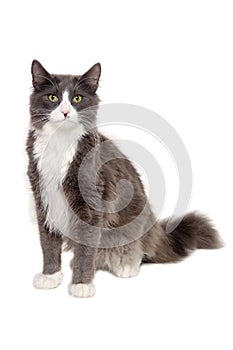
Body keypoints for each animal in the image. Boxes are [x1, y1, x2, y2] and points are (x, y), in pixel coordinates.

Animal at [26, 60, 223, 298]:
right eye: (53, 97)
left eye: (77, 99)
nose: (65, 112)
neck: (61, 143)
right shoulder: (43, 199)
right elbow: (48, 244)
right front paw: (50, 276)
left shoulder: (91, 204)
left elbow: (85, 250)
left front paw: (82, 284)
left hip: (134, 217)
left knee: (138, 249)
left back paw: (126, 264)